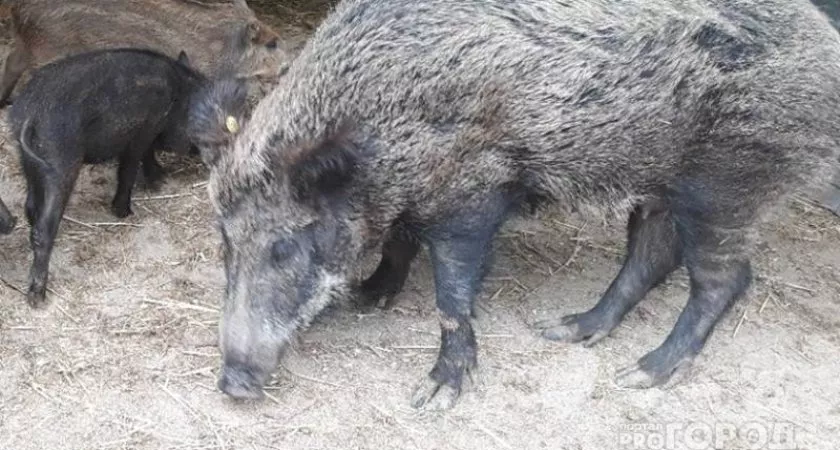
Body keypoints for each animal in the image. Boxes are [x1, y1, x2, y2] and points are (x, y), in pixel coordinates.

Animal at [0, 0, 289, 106]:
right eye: (271, 44)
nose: (287, 67)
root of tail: (17, 10)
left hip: (25, 47)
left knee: (11, 62)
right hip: (50, 52)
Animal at [10, 48, 207, 308]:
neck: (176, 96)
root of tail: (31, 114)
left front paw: (160, 179)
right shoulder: (142, 132)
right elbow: (132, 166)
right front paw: (126, 212)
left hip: (28, 160)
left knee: (30, 206)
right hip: (60, 161)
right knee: (44, 227)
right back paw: (37, 298)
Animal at [188, 0, 840, 410]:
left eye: (284, 245)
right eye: (224, 242)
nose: (234, 383)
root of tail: (823, 42)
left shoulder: (475, 191)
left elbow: (452, 296)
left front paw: (434, 397)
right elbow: (398, 243)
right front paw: (369, 298)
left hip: (730, 184)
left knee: (725, 278)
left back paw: (642, 374)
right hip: (660, 182)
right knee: (649, 257)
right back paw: (565, 331)